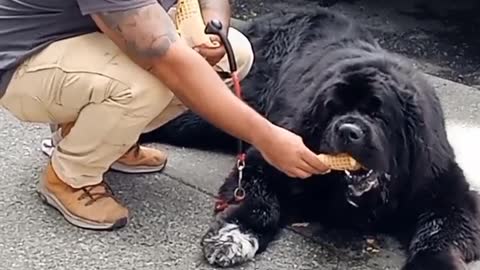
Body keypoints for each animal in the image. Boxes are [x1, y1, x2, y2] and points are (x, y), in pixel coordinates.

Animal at [141, 6, 480, 270]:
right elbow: (257, 200)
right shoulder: (269, 157)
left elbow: (441, 231)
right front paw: (233, 237)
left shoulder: (441, 186)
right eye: (333, 109)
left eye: (377, 114)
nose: (348, 130)